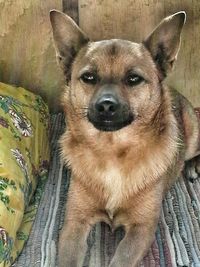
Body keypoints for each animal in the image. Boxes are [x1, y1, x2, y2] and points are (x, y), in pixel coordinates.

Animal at [49, 9, 200, 266]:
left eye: (133, 79)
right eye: (89, 77)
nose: (106, 106)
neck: (112, 152)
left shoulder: (142, 229)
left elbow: (121, 260)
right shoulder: (74, 223)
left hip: (193, 134)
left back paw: (191, 167)